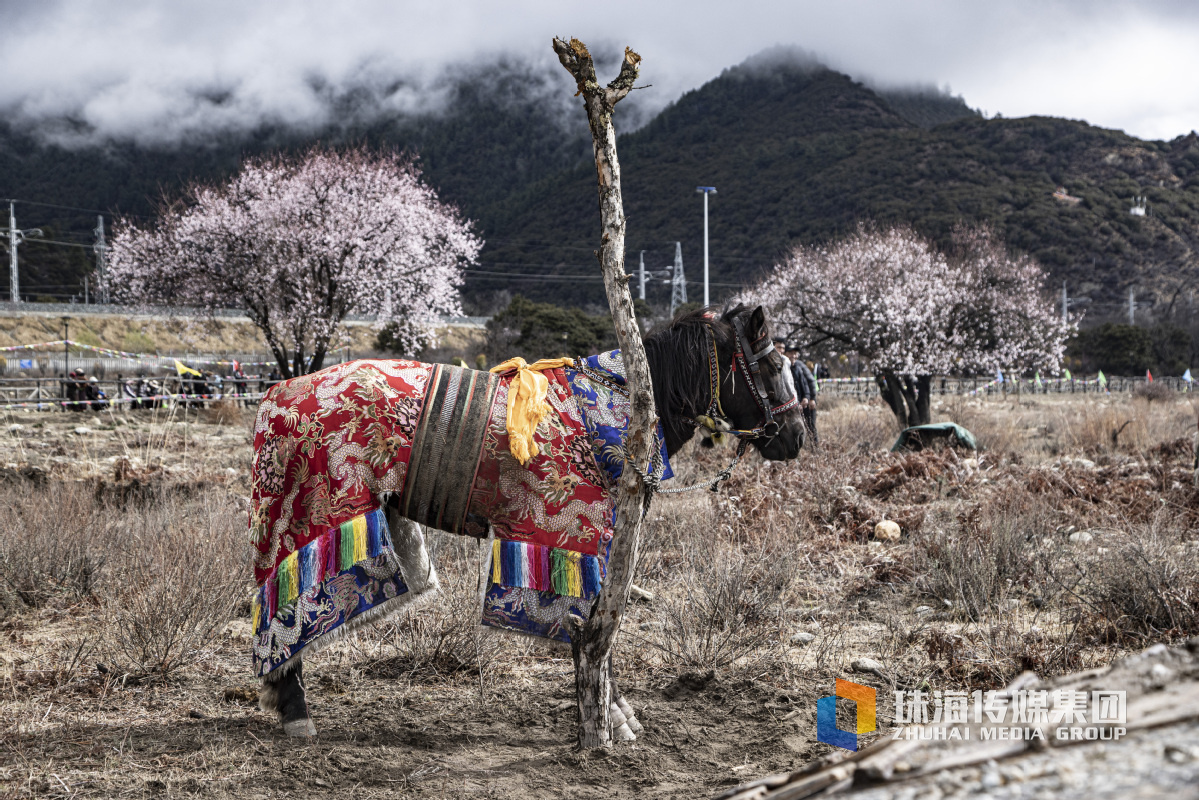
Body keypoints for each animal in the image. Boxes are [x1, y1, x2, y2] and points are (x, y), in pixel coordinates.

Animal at [248, 304, 800, 738]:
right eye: (773, 365)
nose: (794, 436)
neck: (622, 410)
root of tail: (277, 393)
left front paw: (609, 710)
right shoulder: (589, 541)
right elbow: (595, 629)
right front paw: (612, 715)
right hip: (300, 520)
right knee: (286, 617)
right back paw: (294, 708)